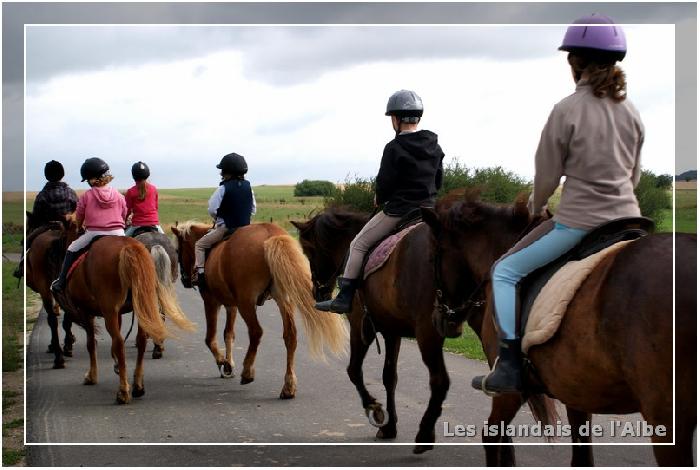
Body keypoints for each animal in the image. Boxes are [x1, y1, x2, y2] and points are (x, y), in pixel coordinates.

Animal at [53, 224, 197, 404]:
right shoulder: (118, 312)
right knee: (143, 338)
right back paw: (138, 384)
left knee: (119, 342)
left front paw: (92, 376)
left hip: (110, 311)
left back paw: (123, 391)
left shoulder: (87, 312)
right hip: (143, 301)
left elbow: (91, 343)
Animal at [171, 220, 348, 396]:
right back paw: (288, 386)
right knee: (290, 336)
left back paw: (248, 372)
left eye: (178, 250)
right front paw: (229, 364)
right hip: (283, 299)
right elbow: (228, 334)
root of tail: (270, 233)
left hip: (246, 303)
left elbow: (210, 338)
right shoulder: (231, 305)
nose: (185, 280)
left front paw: (223, 362)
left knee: (256, 332)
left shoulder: (211, 301)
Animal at [290, 207, 556, 454]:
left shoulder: (359, 326)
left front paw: (376, 410)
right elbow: (389, 377)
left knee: (440, 381)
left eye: (309, 251)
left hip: (429, 332)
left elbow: (354, 371)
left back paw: (425, 435)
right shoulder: (392, 331)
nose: (318, 293)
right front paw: (390, 427)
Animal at [422, 191, 696, 466]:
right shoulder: (576, 389)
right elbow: (582, 455)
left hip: (667, 422)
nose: (437, 319)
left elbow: (491, 437)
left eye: (433, 256)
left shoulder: (507, 391)